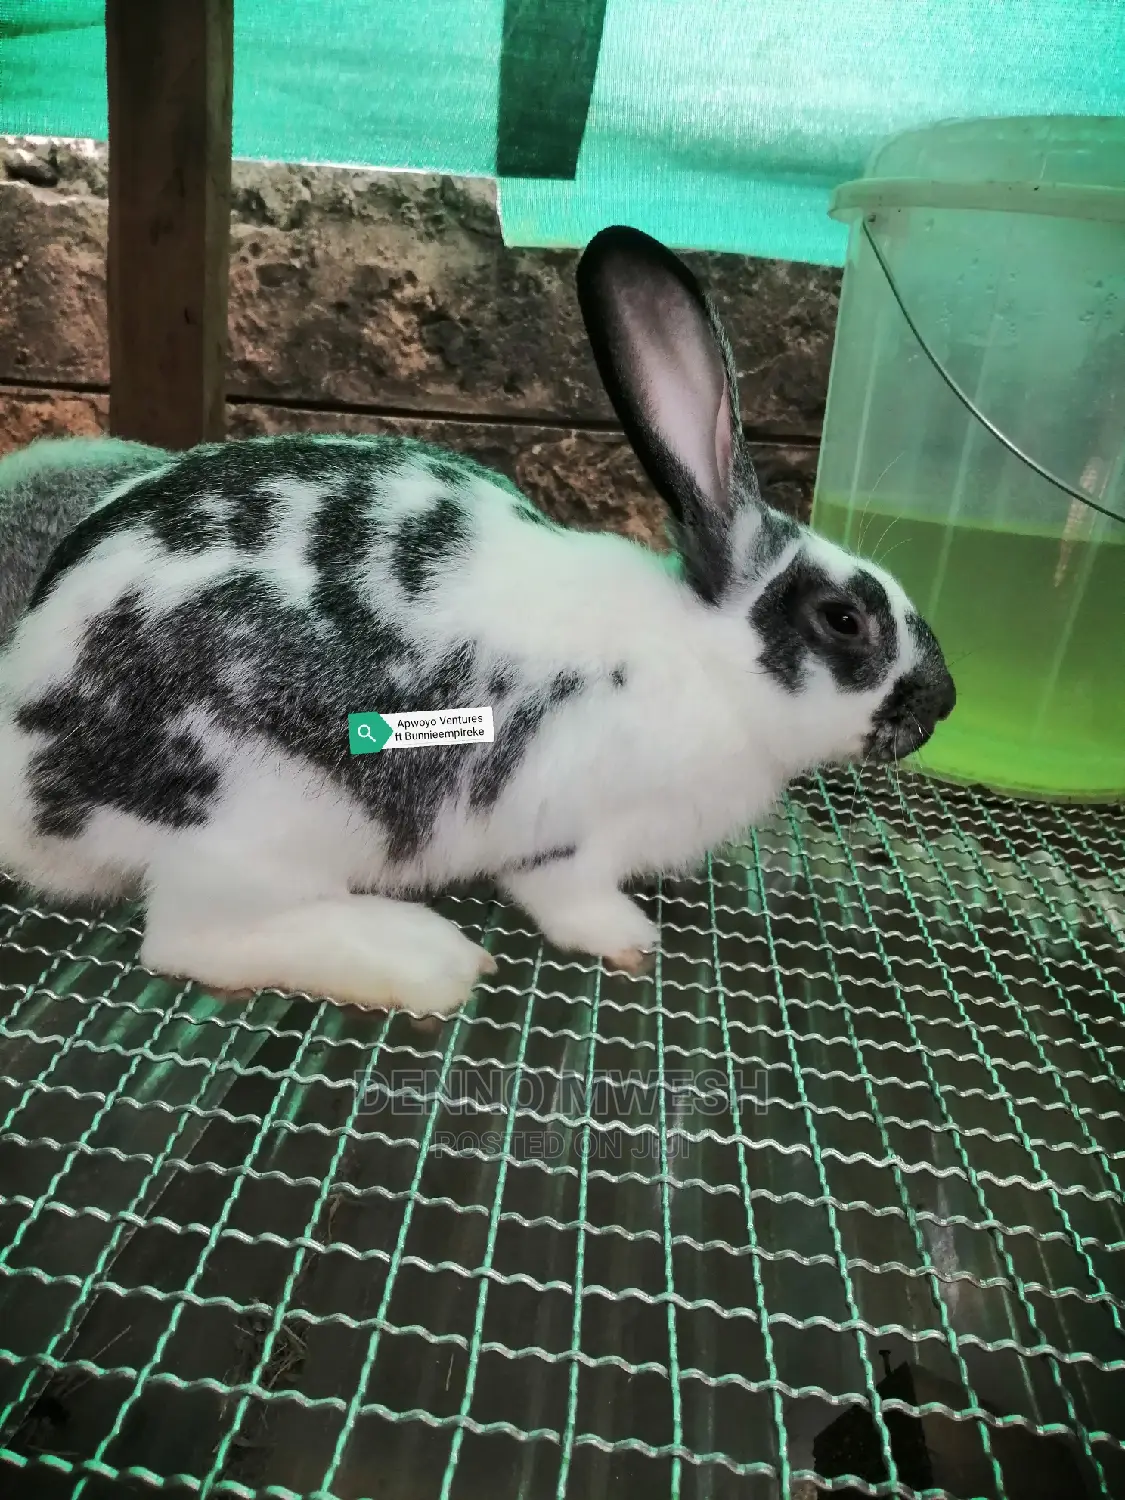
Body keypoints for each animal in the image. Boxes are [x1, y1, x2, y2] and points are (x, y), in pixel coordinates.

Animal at [0, 226, 955, 1016]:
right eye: (843, 620)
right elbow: (567, 897)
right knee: (187, 941)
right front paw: (630, 941)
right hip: (252, 827)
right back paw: (426, 960)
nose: (941, 704)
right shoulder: (567, 836)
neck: (705, 661)